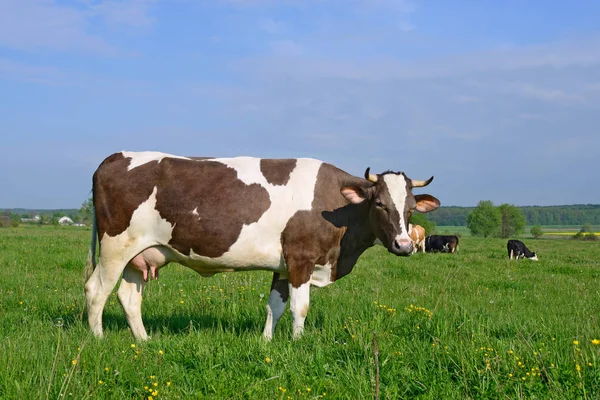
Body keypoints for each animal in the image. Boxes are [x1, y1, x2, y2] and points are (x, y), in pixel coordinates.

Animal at [84, 151, 440, 340]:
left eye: (410, 208)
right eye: (379, 203)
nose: (404, 245)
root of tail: (116, 156)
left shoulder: (284, 265)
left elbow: (275, 306)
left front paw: (267, 341)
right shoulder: (300, 259)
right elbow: (300, 307)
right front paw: (298, 343)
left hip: (140, 255)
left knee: (128, 297)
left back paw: (143, 341)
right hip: (116, 247)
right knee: (96, 290)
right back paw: (99, 339)